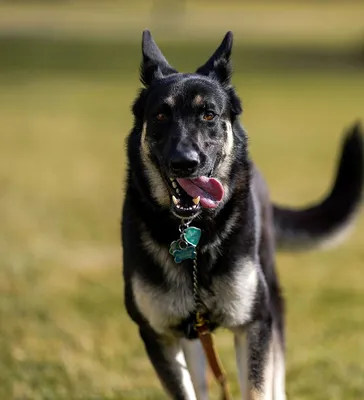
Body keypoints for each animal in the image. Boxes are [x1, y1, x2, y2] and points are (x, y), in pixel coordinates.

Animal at [122, 29, 364, 398]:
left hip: (272, 302)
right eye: (161, 115)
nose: (184, 162)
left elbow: (257, 387)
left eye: (208, 115)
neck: (194, 235)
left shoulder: (254, 325)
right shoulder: (159, 335)